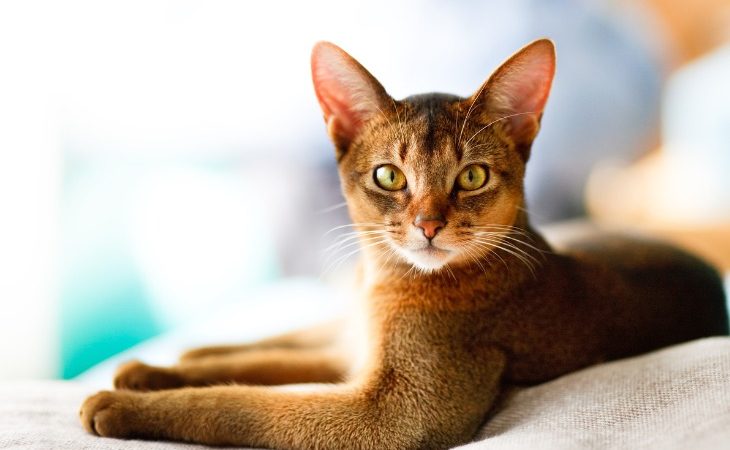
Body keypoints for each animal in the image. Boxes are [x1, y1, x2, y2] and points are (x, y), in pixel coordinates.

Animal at [79, 39, 728, 450]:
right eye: (390, 176)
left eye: (472, 177)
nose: (428, 225)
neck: (387, 283)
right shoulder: (363, 357)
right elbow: (263, 368)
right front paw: (149, 376)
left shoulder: (397, 413)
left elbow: (247, 405)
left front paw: (124, 406)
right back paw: (171, 357)